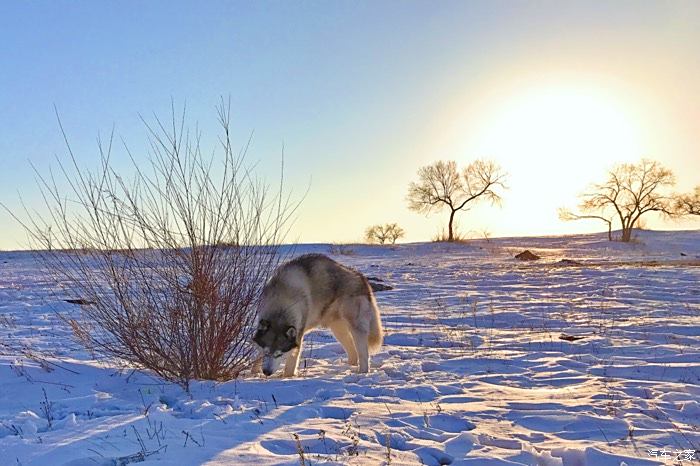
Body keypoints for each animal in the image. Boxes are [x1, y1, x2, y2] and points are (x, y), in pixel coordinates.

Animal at [253, 253, 382, 376]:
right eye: (266, 352)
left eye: (279, 354)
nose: (267, 372)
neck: (282, 302)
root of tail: (361, 278)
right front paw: (255, 371)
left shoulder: (299, 333)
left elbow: (291, 363)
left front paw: (287, 377)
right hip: (338, 330)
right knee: (353, 352)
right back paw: (348, 367)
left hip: (356, 328)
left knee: (363, 354)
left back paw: (362, 372)